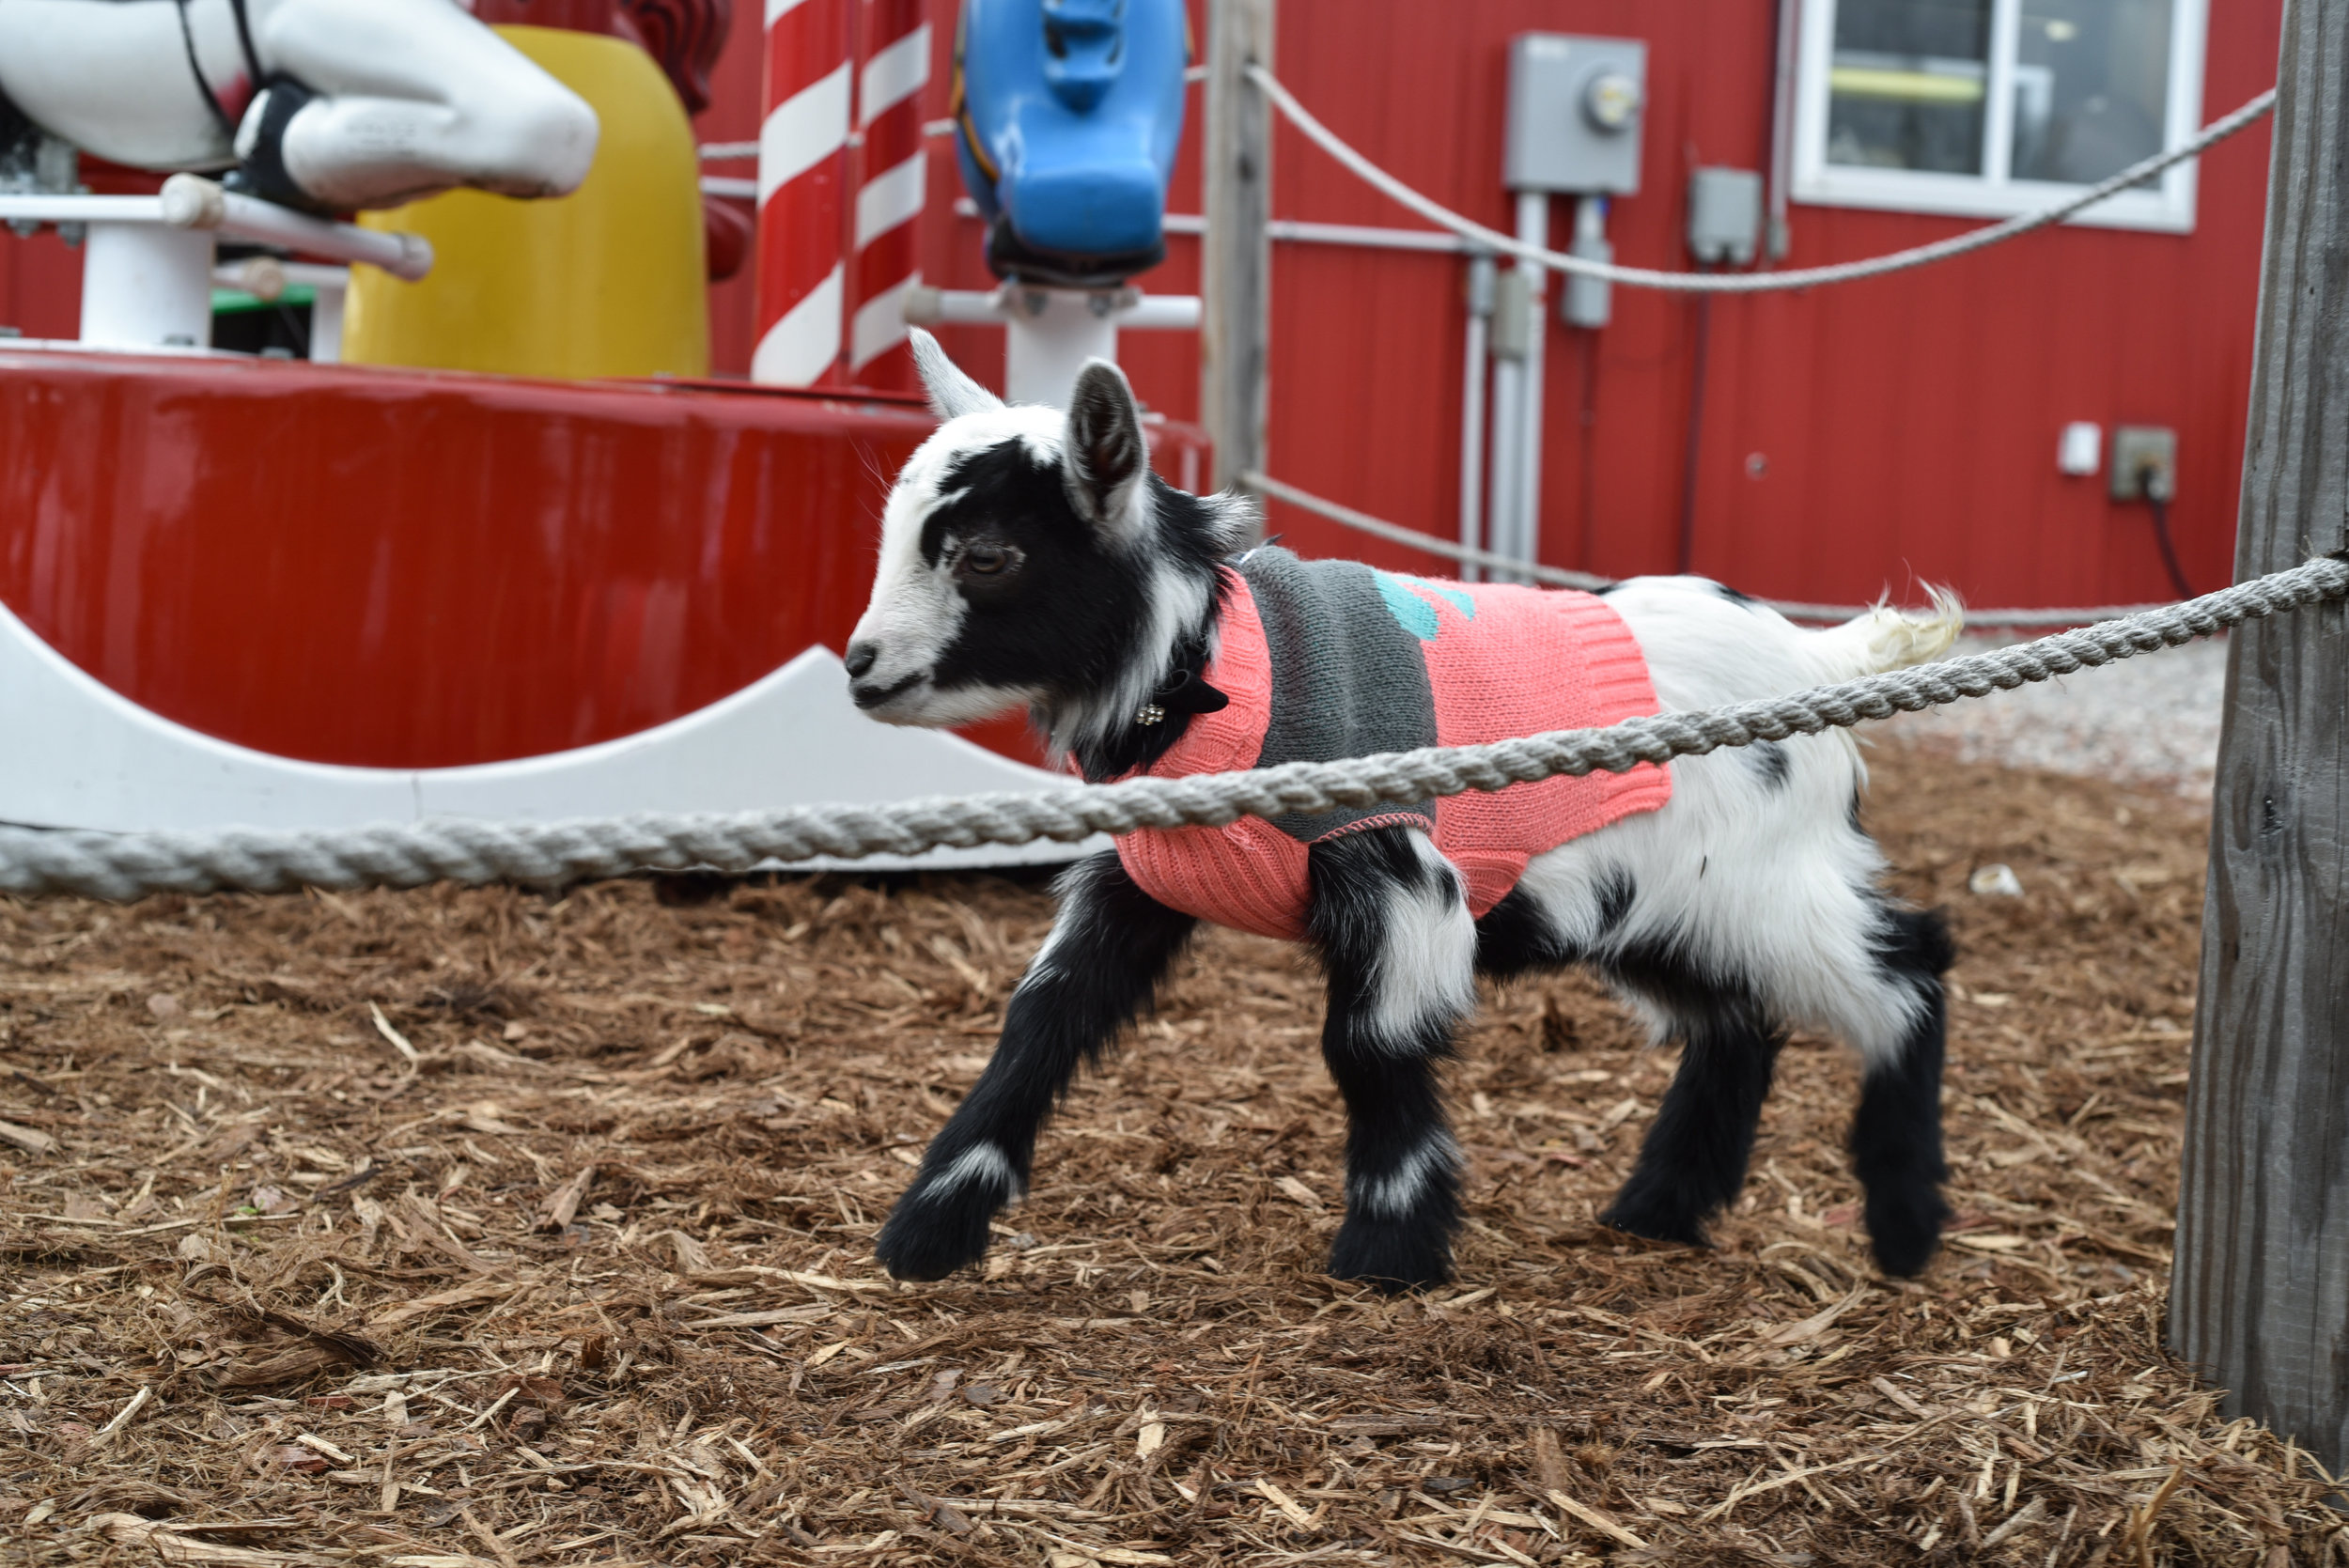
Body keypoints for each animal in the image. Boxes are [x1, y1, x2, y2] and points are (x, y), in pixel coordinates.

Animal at [846, 328, 1964, 1286]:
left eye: (988, 555)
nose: (861, 668)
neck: (1221, 669)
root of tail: (1817, 660)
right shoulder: (1136, 879)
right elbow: (1041, 1021)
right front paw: (929, 1229)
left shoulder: (1396, 871)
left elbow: (1367, 1043)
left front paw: (1390, 1250)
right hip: (1660, 908)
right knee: (1737, 1020)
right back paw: (1657, 1210)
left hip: (1767, 875)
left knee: (1906, 966)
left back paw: (1903, 1221)